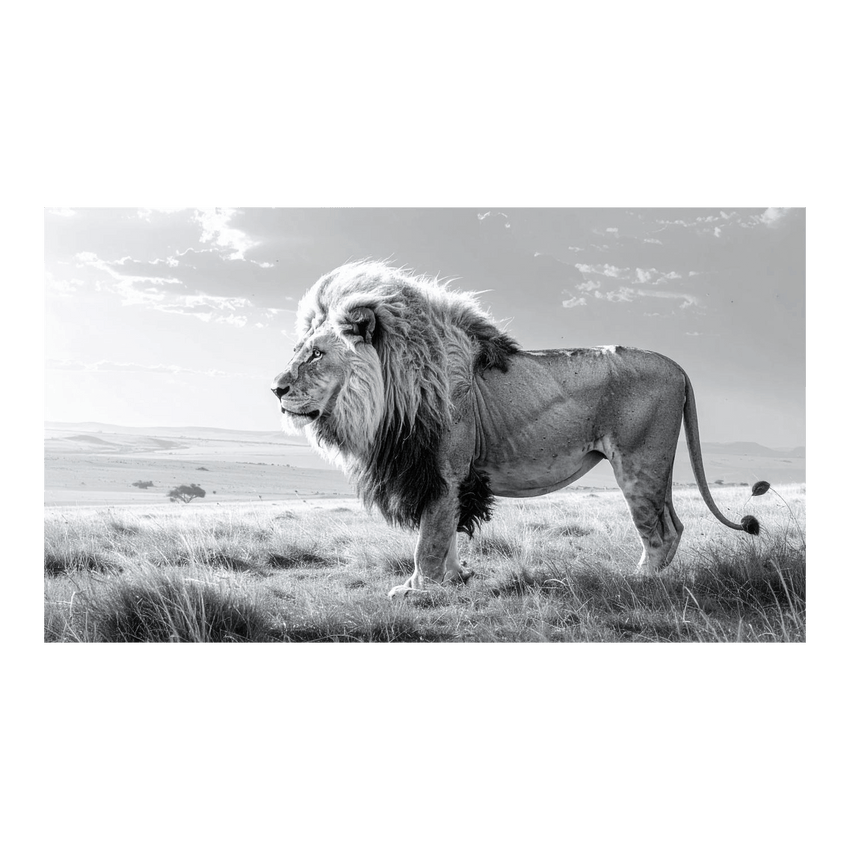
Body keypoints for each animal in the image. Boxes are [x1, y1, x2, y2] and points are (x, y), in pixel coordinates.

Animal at [271, 261, 763, 598]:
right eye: (300, 350)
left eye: (316, 354)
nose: (275, 388)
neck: (392, 391)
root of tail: (678, 366)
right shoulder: (448, 477)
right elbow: (447, 533)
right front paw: (456, 579)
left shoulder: (442, 470)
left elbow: (428, 540)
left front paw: (417, 590)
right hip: (656, 465)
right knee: (675, 525)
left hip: (640, 463)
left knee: (660, 532)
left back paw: (637, 582)